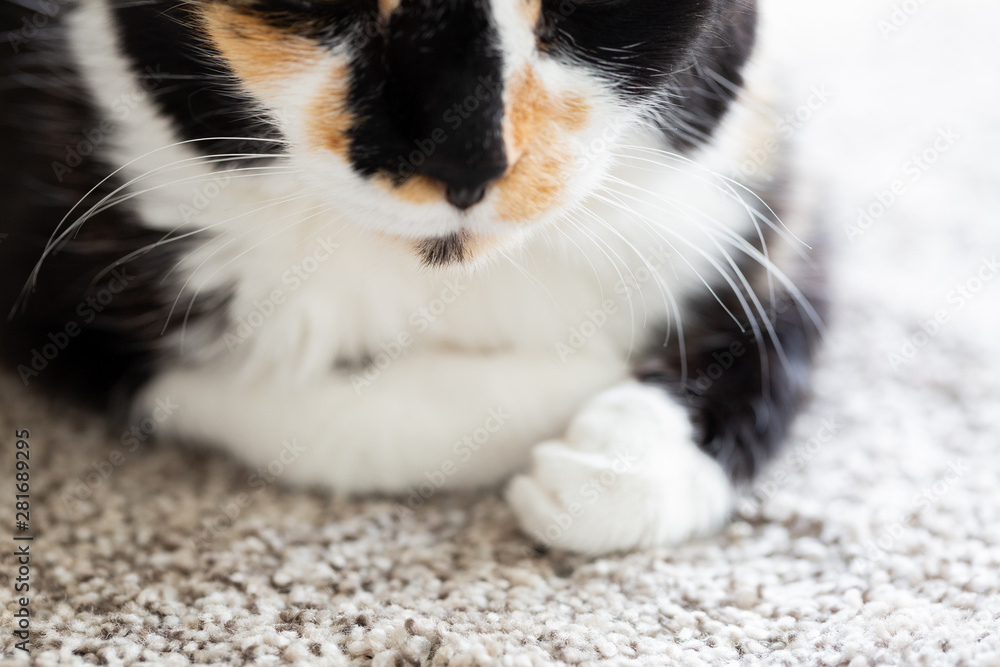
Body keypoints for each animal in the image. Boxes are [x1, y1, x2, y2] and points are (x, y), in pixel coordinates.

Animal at [0, 0, 824, 556]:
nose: (466, 160)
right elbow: (317, 412)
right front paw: (574, 393)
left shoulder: (762, 188)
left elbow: (770, 330)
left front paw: (623, 463)